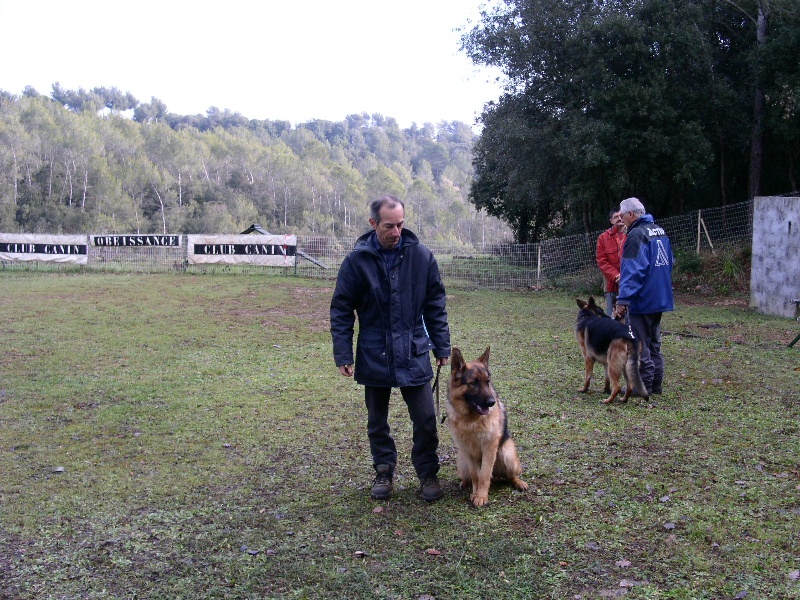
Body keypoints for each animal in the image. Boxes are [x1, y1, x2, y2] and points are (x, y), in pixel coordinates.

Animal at [446, 346, 528, 506]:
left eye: (487, 381)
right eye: (474, 382)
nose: (491, 402)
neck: (471, 419)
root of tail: (496, 476)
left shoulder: (489, 448)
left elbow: (484, 475)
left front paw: (481, 496)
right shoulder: (467, 451)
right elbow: (475, 475)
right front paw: (475, 493)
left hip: (506, 454)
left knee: (510, 475)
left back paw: (518, 482)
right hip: (461, 460)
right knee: (469, 475)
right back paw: (465, 483)